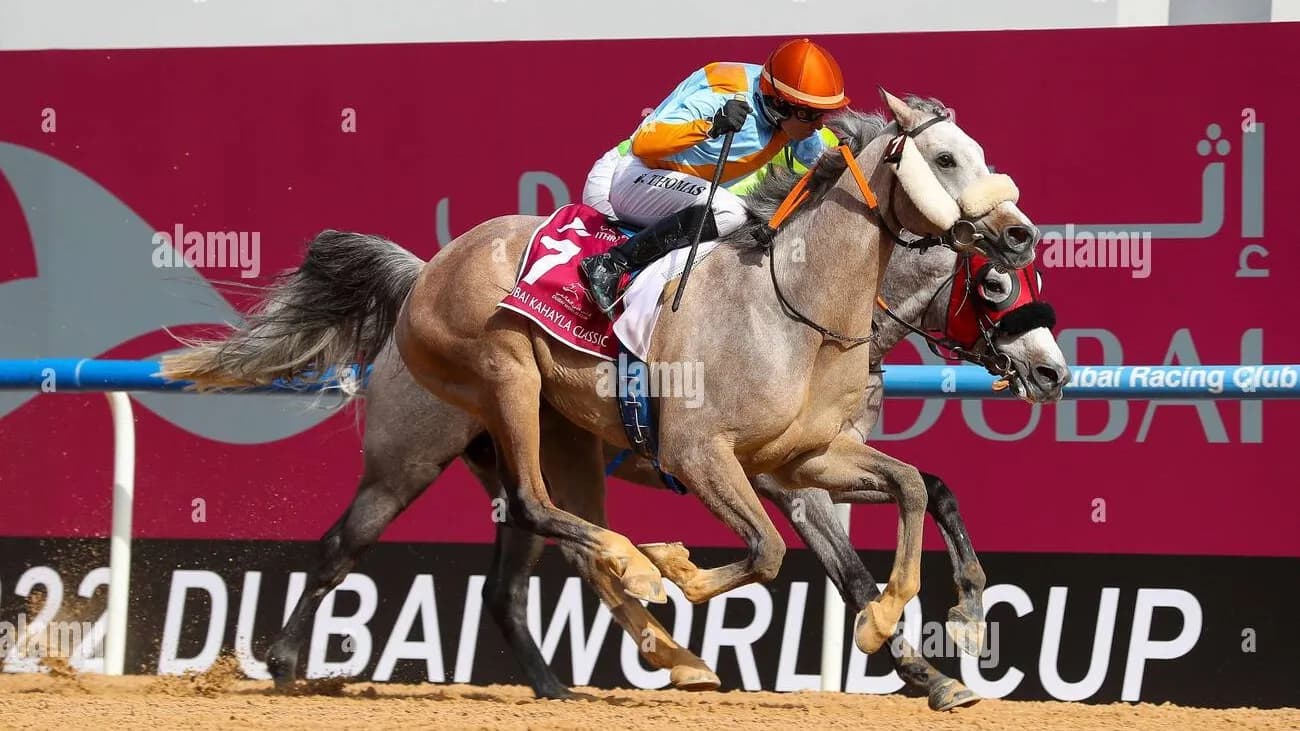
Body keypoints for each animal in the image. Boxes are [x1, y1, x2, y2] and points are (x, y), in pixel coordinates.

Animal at [162, 90, 1049, 701]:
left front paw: (942, 638)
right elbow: (778, 551)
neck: (796, 306)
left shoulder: (805, 457)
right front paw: (679, 567)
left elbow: (918, 489)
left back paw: (611, 665)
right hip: (457, 420)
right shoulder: (726, 461)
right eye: (997, 285)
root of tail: (426, 270)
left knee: (525, 558)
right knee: (371, 537)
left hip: (543, 446)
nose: (1018, 230)